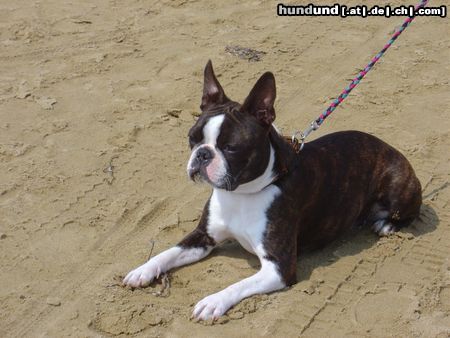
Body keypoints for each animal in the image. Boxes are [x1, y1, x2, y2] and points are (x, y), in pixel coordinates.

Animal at [123, 59, 422, 320]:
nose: (203, 154)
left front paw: (213, 301)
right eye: (192, 139)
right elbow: (168, 252)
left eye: (231, 148)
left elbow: (238, 284)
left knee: (409, 212)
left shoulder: (279, 266)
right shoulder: (202, 237)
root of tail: (390, 147)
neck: (241, 194)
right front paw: (143, 270)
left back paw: (387, 224)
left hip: (398, 186)